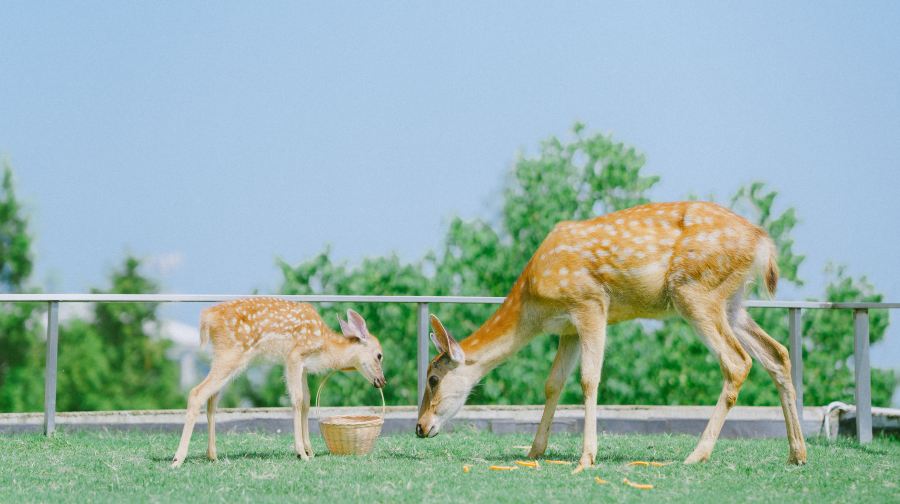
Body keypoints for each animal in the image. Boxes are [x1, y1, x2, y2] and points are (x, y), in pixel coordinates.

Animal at [171, 298, 386, 468]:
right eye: (379, 355)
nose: (382, 381)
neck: (324, 347)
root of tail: (207, 317)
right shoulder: (294, 356)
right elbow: (296, 400)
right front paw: (301, 453)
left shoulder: (303, 367)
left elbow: (306, 402)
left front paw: (310, 451)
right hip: (232, 354)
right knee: (197, 393)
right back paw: (178, 459)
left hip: (223, 357)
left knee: (212, 399)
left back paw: (213, 456)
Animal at [416, 201, 807, 472]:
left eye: (433, 378)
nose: (420, 427)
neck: (532, 303)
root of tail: (764, 244)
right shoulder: (568, 328)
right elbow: (553, 383)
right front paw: (534, 450)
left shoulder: (589, 303)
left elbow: (589, 379)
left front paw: (586, 458)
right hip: (733, 302)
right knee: (778, 354)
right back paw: (797, 453)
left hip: (695, 291)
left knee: (738, 361)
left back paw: (697, 454)